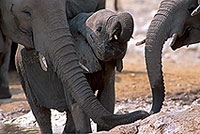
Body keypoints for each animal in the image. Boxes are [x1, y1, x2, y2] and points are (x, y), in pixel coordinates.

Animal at [0, 0, 150, 133]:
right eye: (99, 29)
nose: (145, 113)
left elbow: (107, 97)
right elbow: (77, 106)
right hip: (23, 74)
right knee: (41, 115)